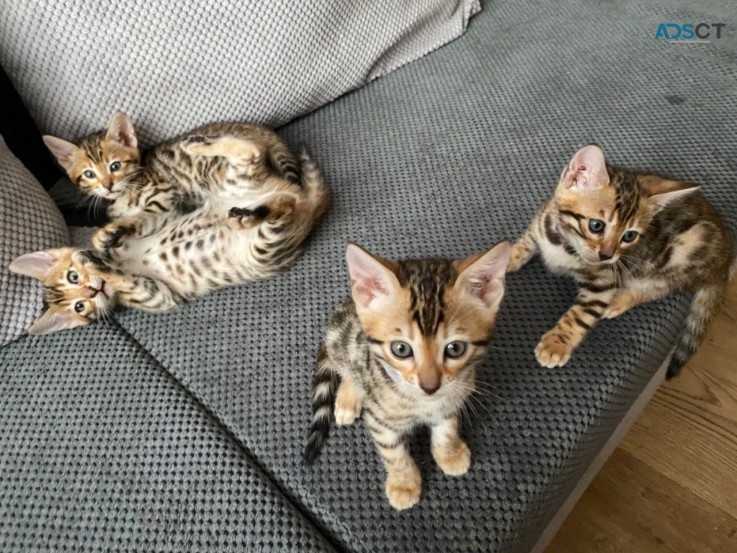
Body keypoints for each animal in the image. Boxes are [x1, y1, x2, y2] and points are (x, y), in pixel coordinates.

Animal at [10, 144, 328, 334]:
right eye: (80, 307)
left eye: (73, 276)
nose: (92, 290)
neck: (119, 261)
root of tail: (304, 198)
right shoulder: (158, 296)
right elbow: (128, 282)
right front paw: (101, 264)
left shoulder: (161, 215)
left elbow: (138, 219)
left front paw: (104, 239)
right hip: (264, 245)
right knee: (280, 201)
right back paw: (247, 214)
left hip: (236, 185)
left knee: (250, 153)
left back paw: (199, 146)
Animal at [306, 242, 512, 508]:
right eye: (401, 349)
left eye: (455, 348)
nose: (430, 386)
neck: (420, 402)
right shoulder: (379, 419)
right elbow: (392, 451)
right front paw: (403, 483)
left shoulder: (454, 394)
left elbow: (447, 427)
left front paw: (450, 452)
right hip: (340, 340)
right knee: (347, 368)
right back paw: (347, 399)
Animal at [508, 142, 732, 378]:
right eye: (596, 225)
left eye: (629, 236)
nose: (607, 255)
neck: (564, 246)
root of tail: (726, 261)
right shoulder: (540, 224)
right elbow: (525, 243)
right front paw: (507, 257)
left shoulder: (604, 282)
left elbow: (582, 313)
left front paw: (556, 344)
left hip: (684, 253)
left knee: (660, 287)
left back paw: (619, 299)